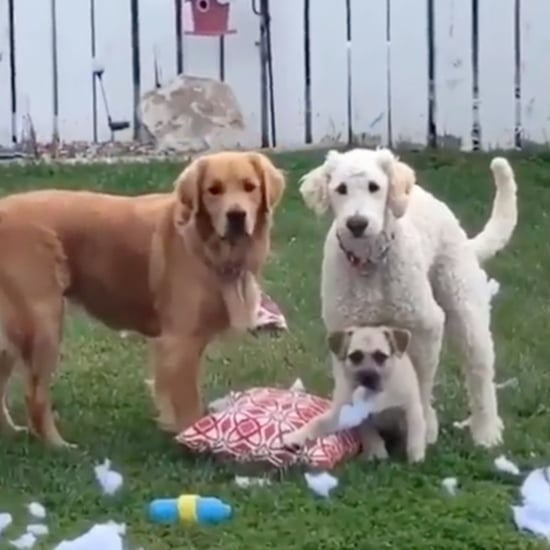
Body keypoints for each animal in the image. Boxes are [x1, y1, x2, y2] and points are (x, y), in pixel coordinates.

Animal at [282, 326, 430, 464]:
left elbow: (415, 433)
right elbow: (318, 423)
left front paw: (416, 458)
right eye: (355, 356)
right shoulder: (348, 415)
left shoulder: (411, 408)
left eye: (381, 356)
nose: (368, 376)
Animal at [300, 150, 520, 448]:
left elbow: (422, 383)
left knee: (480, 370)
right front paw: (369, 439)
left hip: (463, 304)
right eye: (341, 189)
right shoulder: (342, 330)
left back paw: (486, 431)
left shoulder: (426, 326)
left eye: (374, 187)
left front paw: (424, 428)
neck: (370, 264)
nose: (357, 224)